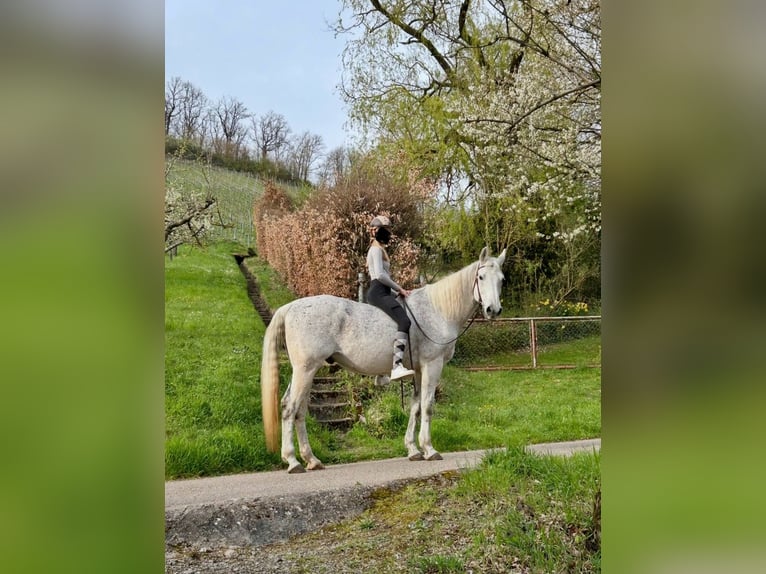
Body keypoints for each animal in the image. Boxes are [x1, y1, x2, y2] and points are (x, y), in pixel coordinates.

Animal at [260, 245, 508, 474]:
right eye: (481, 277)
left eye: (502, 280)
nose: (493, 310)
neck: (438, 310)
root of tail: (291, 307)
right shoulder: (432, 365)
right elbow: (427, 406)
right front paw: (429, 449)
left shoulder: (418, 370)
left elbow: (415, 407)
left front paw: (413, 449)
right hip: (305, 369)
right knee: (291, 408)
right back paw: (293, 461)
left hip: (305, 371)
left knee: (298, 409)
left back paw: (311, 459)